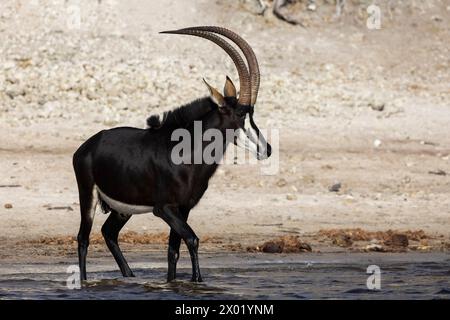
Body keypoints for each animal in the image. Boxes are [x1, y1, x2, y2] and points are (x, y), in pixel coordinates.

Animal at [73, 26, 270, 282]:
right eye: (238, 116)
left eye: (251, 114)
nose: (266, 149)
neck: (188, 154)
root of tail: (87, 146)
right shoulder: (164, 208)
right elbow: (192, 239)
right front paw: (197, 280)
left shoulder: (184, 208)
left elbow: (173, 251)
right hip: (88, 195)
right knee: (83, 239)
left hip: (122, 209)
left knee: (108, 232)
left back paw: (130, 276)